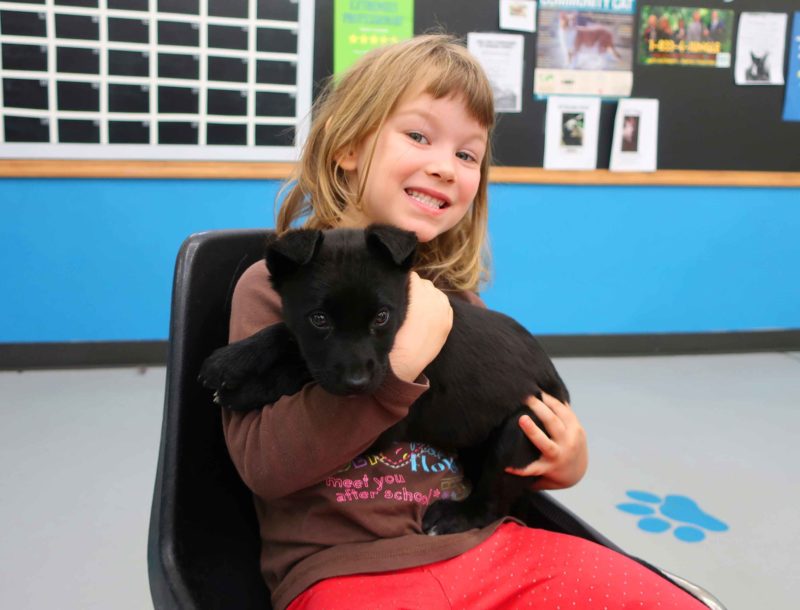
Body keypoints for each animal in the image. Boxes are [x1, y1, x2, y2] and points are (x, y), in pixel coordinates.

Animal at [203, 223, 572, 532]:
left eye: (381, 317)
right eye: (319, 319)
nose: (357, 384)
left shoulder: (384, 426)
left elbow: (301, 370)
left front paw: (243, 388)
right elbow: (288, 336)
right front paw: (234, 359)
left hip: (524, 424)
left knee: (492, 504)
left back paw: (455, 516)